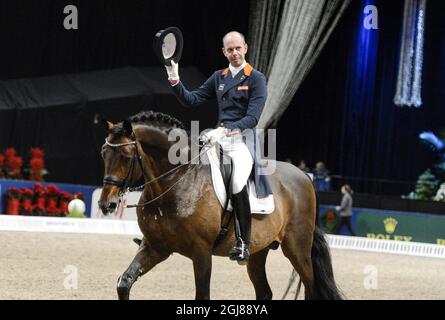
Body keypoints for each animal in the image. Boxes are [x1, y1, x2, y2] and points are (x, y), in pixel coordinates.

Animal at [99, 110, 342, 300]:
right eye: (103, 153)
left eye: (126, 155)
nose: (106, 204)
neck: (176, 181)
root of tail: (304, 176)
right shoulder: (156, 247)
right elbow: (124, 282)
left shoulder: (201, 252)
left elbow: (202, 295)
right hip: (258, 252)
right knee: (264, 292)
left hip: (297, 248)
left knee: (310, 287)